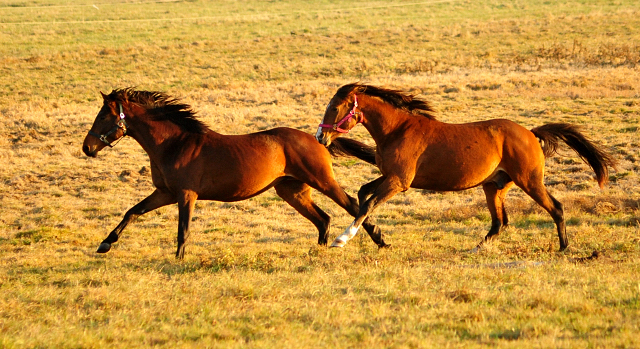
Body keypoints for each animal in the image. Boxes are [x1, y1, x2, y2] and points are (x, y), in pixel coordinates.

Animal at [82, 89, 388, 258]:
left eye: (103, 116)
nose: (87, 147)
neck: (174, 143)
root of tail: (319, 138)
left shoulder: (185, 195)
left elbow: (183, 230)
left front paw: (178, 259)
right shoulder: (165, 193)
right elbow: (132, 212)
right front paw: (105, 244)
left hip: (322, 181)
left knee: (352, 205)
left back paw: (377, 239)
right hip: (291, 191)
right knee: (323, 219)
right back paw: (319, 251)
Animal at [316, 81, 616, 250]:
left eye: (334, 108)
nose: (321, 137)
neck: (396, 130)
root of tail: (531, 134)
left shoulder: (398, 182)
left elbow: (368, 204)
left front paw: (342, 239)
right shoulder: (391, 177)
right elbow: (363, 195)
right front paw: (378, 236)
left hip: (529, 181)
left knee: (556, 208)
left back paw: (564, 247)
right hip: (494, 186)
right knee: (499, 222)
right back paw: (476, 249)